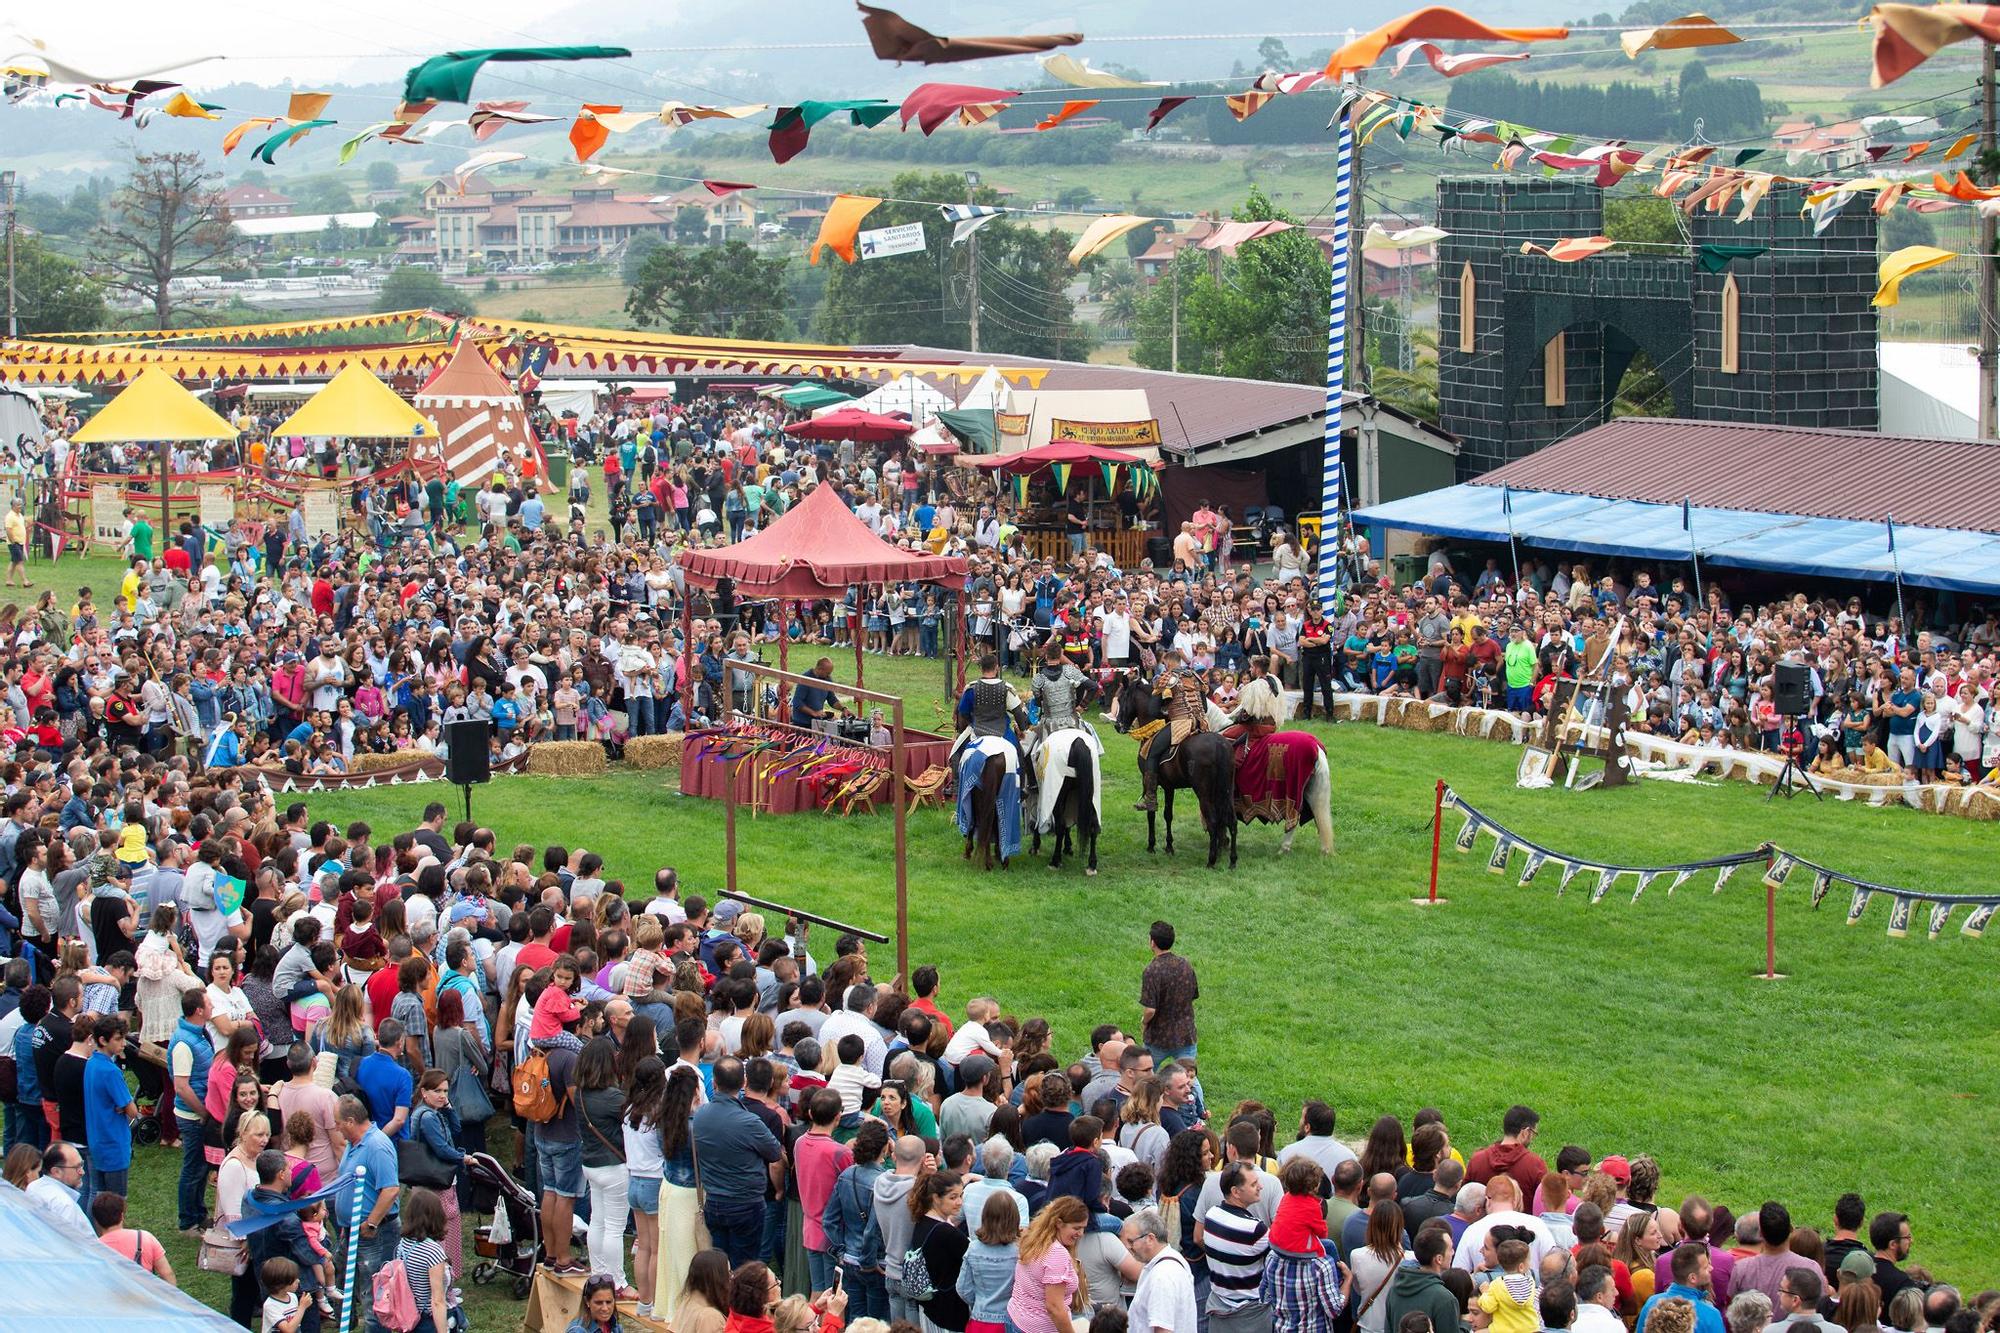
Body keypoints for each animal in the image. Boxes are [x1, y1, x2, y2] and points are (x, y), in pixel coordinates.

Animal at [1032, 728, 1112, 872]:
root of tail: (1078, 742)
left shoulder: (1043, 793)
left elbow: (1039, 815)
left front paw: (1035, 846)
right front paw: (1068, 847)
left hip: (1059, 794)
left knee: (1060, 824)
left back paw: (1055, 861)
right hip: (1090, 797)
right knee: (1092, 825)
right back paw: (1091, 864)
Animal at [1112, 668, 1232, 868]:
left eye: (1122, 699)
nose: (1118, 725)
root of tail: (1220, 745)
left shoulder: (1148, 779)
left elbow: (1151, 811)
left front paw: (1151, 845)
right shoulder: (1169, 786)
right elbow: (1168, 814)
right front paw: (1169, 846)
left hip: (1203, 791)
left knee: (1213, 820)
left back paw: (1211, 860)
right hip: (1223, 789)